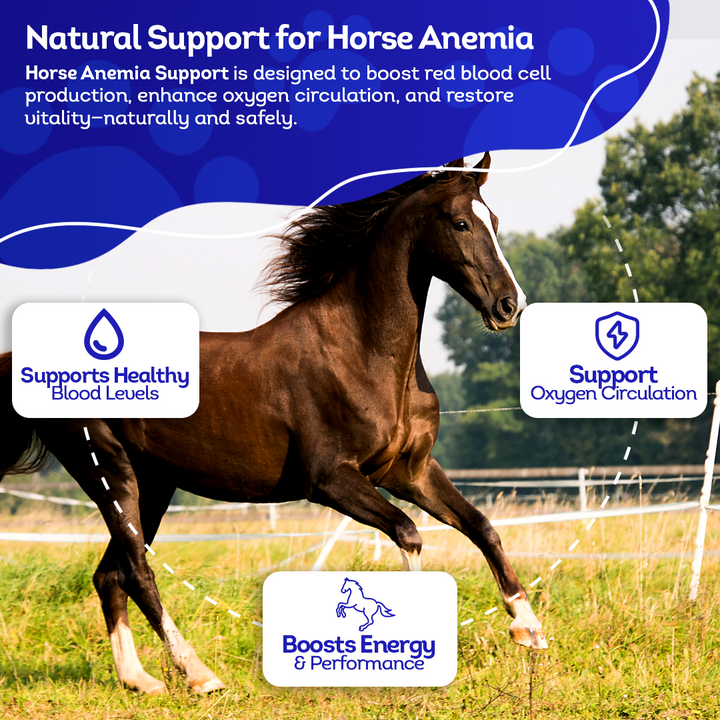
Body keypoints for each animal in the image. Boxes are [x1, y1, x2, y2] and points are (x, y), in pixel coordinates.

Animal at [0, 153, 547, 695]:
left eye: (495, 222)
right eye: (460, 223)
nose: (509, 306)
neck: (362, 352)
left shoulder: (409, 471)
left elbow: (481, 526)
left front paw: (529, 630)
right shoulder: (329, 480)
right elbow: (408, 533)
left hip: (151, 483)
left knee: (109, 575)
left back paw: (140, 680)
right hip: (109, 471)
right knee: (136, 571)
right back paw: (198, 674)